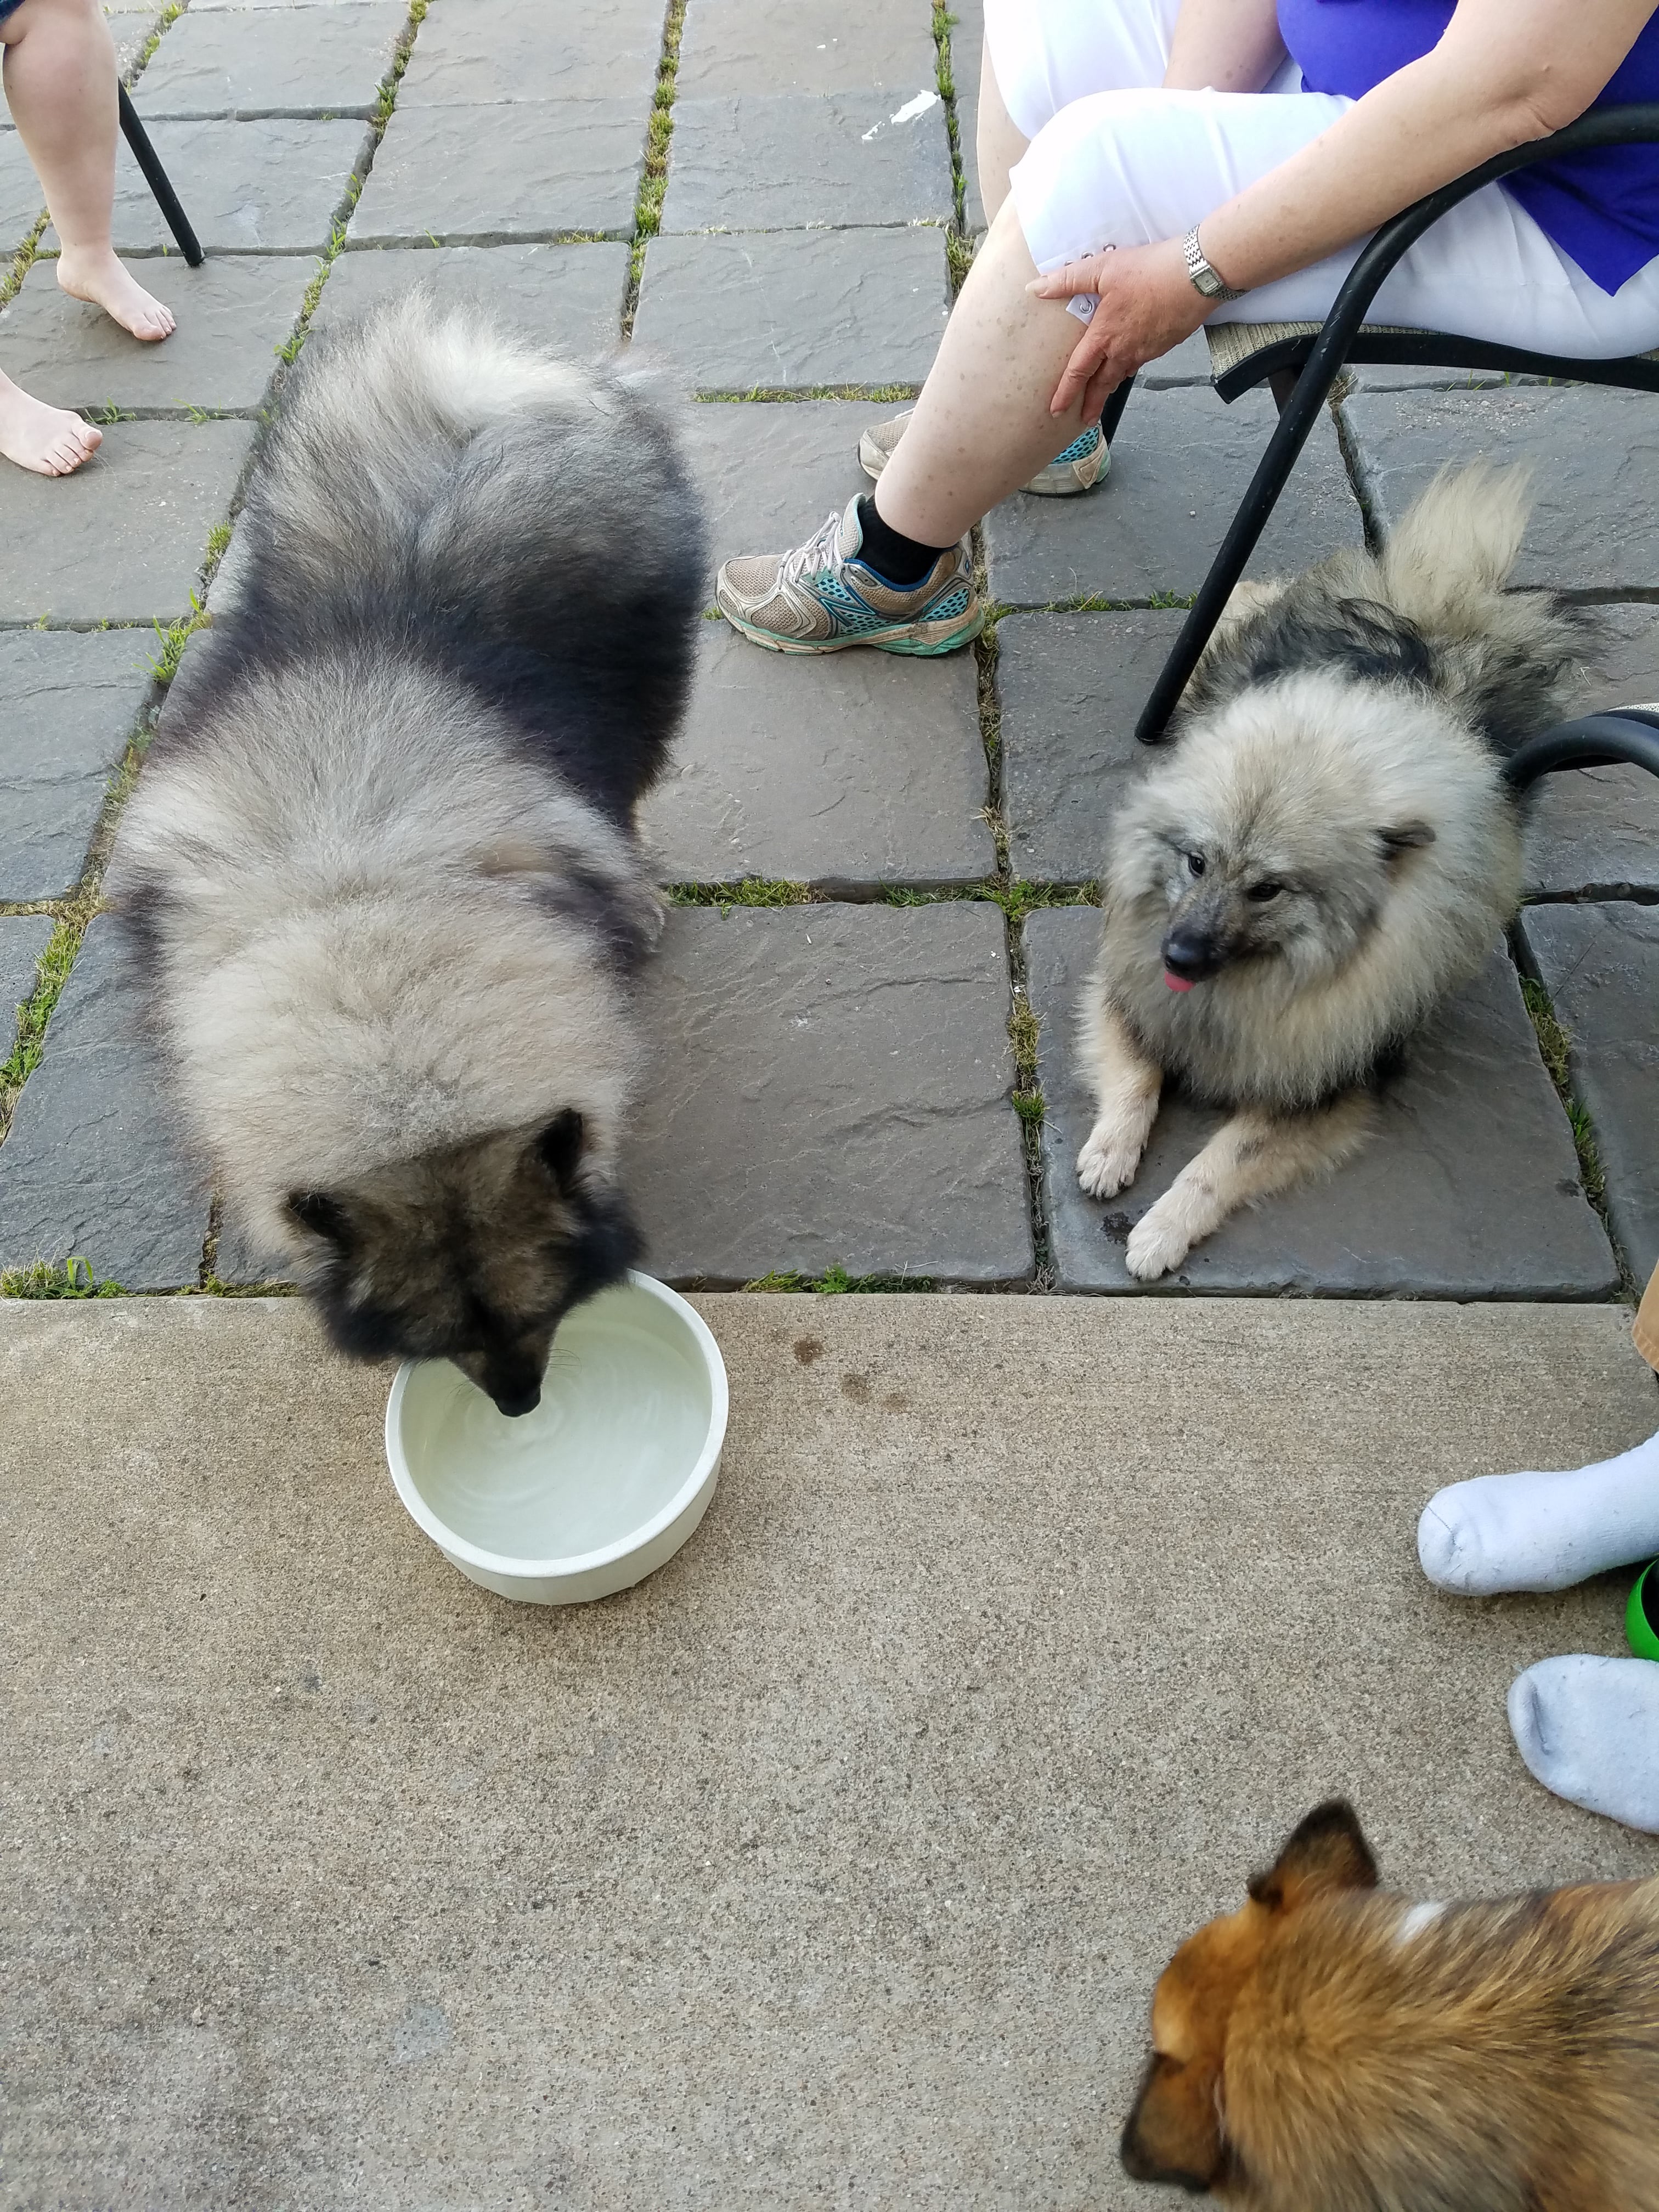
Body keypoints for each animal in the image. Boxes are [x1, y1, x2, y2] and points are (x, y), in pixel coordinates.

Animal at [109, 292, 705, 1415]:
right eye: (439, 1340)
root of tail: (483, 386)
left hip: (646, 689)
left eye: (539, 1312)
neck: (367, 931)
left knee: (636, 785)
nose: (520, 1406)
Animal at [1075, 465, 1586, 1280]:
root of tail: (1427, 611)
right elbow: (1136, 1076)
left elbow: (1220, 1159)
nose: (1178, 955)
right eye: (1196, 861)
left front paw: (1160, 1231)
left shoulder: (1322, 1083)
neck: (1253, 989)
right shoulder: (1130, 995)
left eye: (1267, 890)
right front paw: (1108, 1152)